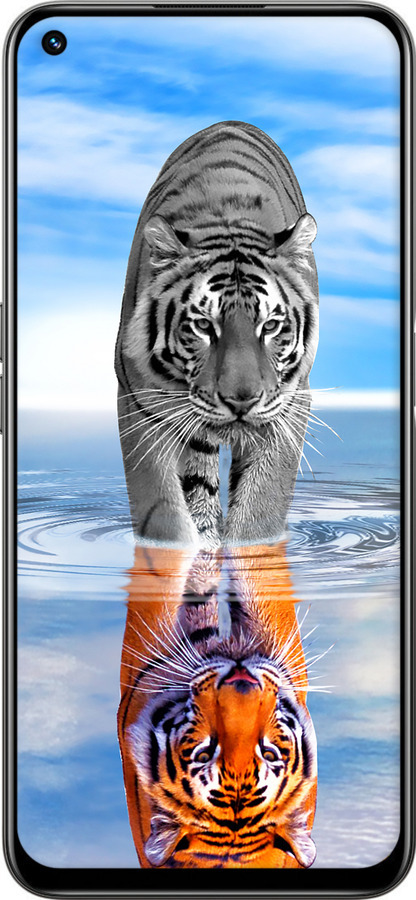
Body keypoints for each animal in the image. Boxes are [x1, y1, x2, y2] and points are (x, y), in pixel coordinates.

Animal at [115, 120, 319, 549]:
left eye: (270, 326)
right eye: (204, 326)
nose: (241, 400)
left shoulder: (290, 404)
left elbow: (261, 509)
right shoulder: (139, 401)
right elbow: (163, 512)